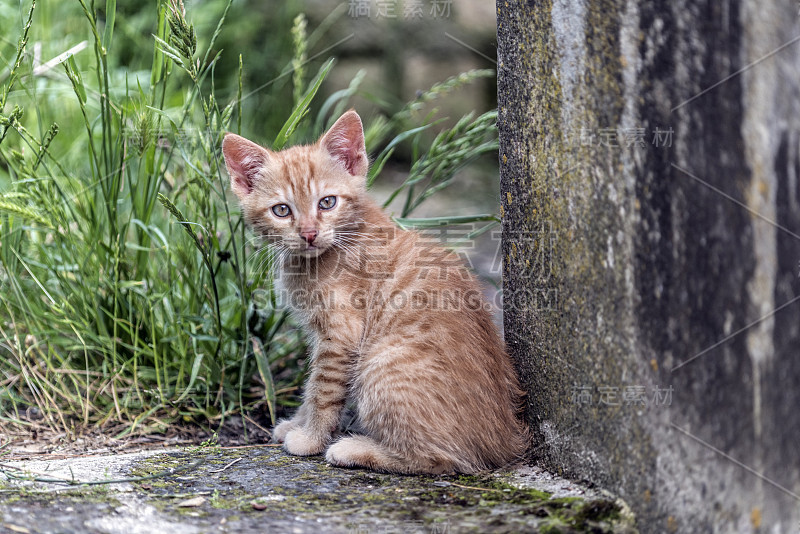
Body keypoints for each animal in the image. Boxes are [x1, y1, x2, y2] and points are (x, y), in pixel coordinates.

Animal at [222, 112, 528, 474]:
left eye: (327, 202)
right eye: (281, 210)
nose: (309, 234)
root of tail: (506, 440)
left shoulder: (341, 334)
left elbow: (322, 389)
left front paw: (310, 438)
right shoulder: (321, 335)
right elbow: (311, 384)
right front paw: (298, 423)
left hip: (379, 362)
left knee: (441, 458)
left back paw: (355, 449)